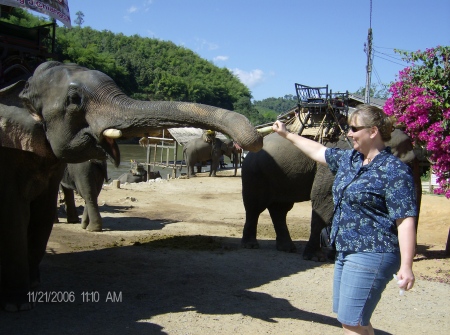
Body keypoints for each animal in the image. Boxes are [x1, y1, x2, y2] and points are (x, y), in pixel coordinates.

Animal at [0, 60, 262, 312]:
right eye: (74, 100)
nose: (258, 139)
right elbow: (14, 213)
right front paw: (18, 304)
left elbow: (42, 213)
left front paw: (31, 290)